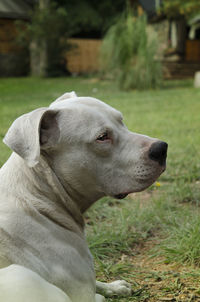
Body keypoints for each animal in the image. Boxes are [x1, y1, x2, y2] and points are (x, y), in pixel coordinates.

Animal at [0, 92, 166, 302]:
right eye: (102, 137)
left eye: (121, 121)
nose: (161, 148)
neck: (38, 197)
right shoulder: (81, 292)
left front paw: (115, 287)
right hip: (22, 276)